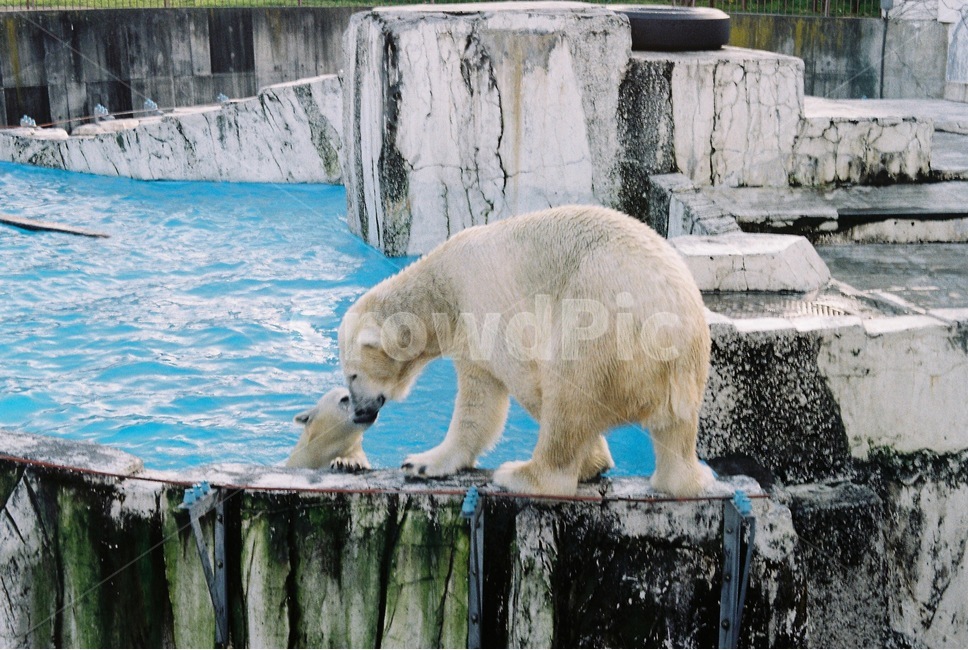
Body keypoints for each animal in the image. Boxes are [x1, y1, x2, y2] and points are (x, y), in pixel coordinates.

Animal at [338, 204, 713, 497]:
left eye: (352, 375)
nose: (359, 413)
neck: (443, 286)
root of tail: (676, 329)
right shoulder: (467, 334)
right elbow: (479, 401)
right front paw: (422, 463)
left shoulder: (483, 302)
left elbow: (520, 379)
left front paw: (593, 463)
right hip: (684, 369)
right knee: (676, 430)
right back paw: (682, 479)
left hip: (604, 323)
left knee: (568, 389)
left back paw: (522, 474)